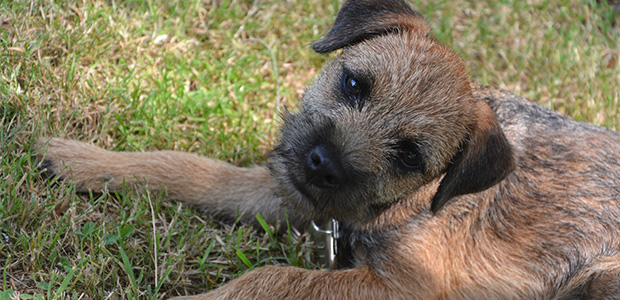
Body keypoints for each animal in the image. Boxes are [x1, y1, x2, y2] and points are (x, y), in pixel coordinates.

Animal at [35, 0, 620, 298]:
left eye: (411, 155)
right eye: (355, 84)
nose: (323, 164)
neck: (415, 203)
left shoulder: (408, 287)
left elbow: (274, 276)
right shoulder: (289, 189)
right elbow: (196, 168)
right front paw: (85, 160)